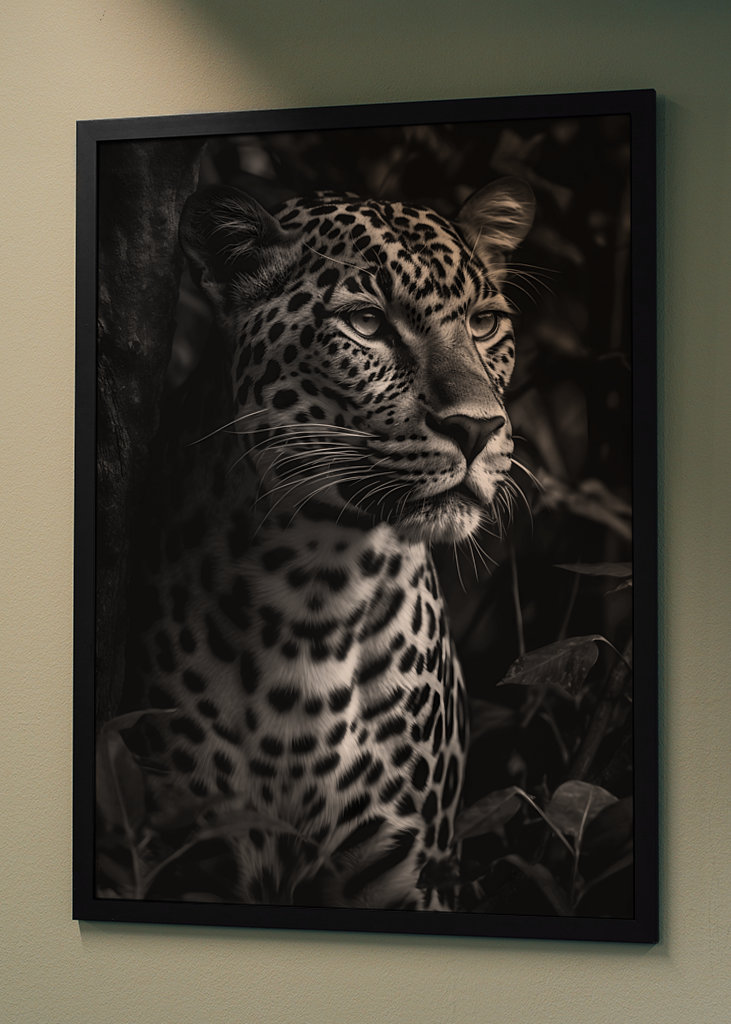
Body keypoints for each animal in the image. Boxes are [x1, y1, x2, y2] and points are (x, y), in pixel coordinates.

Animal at [124, 175, 535, 911]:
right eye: (366, 325)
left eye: (484, 324)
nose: (477, 428)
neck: (315, 587)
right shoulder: (195, 852)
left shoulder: (406, 874)